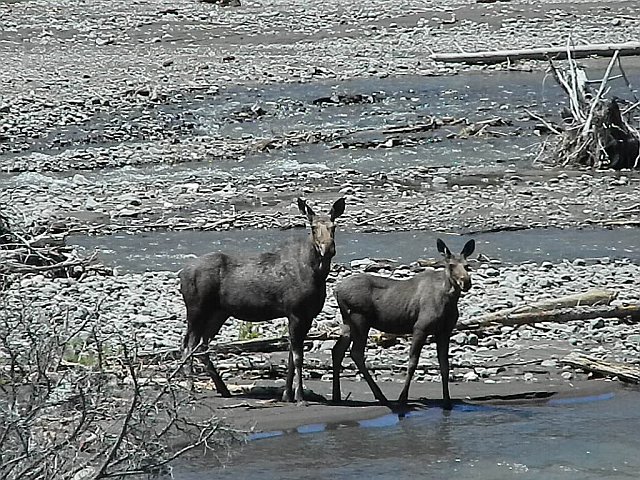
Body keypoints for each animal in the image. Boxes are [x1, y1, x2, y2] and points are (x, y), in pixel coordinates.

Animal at [179, 197, 345, 403]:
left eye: (334, 226)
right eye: (313, 227)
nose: (328, 248)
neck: (317, 274)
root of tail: (181, 273)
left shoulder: (306, 316)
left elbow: (291, 357)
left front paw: (286, 395)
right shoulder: (296, 313)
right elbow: (298, 357)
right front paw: (299, 396)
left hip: (218, 313)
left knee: (201, 346)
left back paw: (223, 389)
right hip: (197, 309)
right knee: (188, 346)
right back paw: (191, 390)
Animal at [331, 238, 475, 410]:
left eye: (467, 266)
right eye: (451, 265)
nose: (466, 282)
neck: (448, 301)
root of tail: (336, 290)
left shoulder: (445, 331)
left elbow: (444, 365)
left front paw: (447, 402)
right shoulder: (420, 327)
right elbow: (413, 362)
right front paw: (402, 398)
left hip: (347, 322)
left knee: (338, 350)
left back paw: (337, 396)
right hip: (360, 319)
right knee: (356, 353)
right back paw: (382, 397)